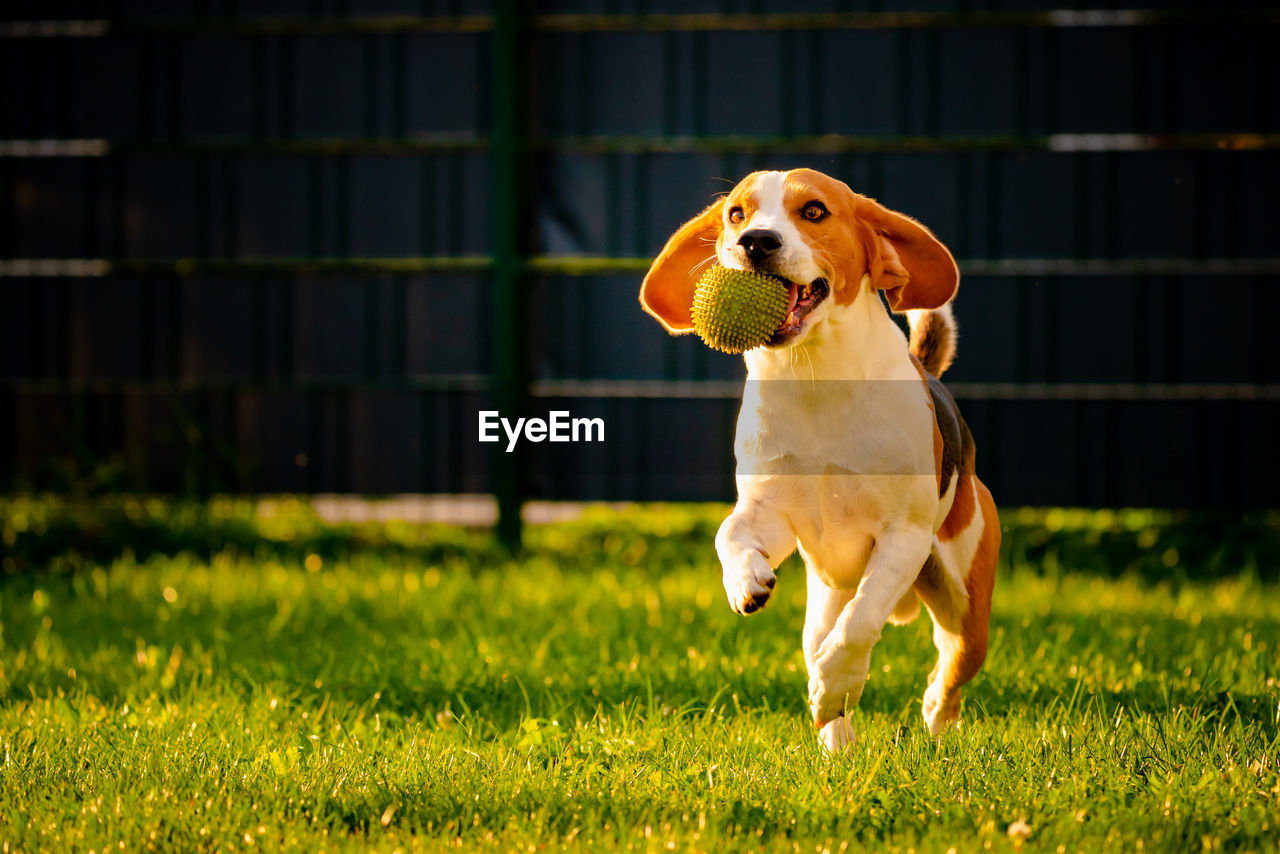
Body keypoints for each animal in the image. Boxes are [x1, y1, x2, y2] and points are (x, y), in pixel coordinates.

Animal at [640, 170, 998, 752]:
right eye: (736, 214)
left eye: (813, 211)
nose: (756, 242)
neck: (814, 376)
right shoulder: (775, 513)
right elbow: (728, 531)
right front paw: (744, 580)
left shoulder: (904, 534)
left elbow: (863, 617)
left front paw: (836, 682)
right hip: (823, 594)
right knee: (818, 640)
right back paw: (839, 744)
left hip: (966, 604)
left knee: (948, 670)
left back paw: (930, 722)